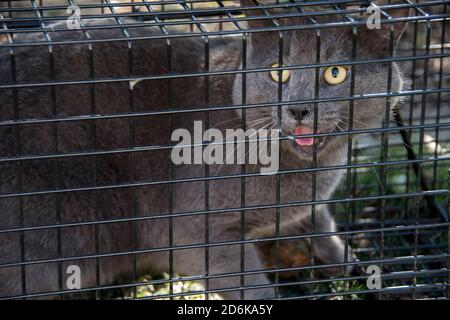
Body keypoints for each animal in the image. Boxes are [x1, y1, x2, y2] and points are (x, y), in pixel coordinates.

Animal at [0, 1, 408, 298]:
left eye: (335, 73)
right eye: (279, 71)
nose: (298, 108)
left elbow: (323, 227)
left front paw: (353, 265)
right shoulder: (199, 229)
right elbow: (249, 285)